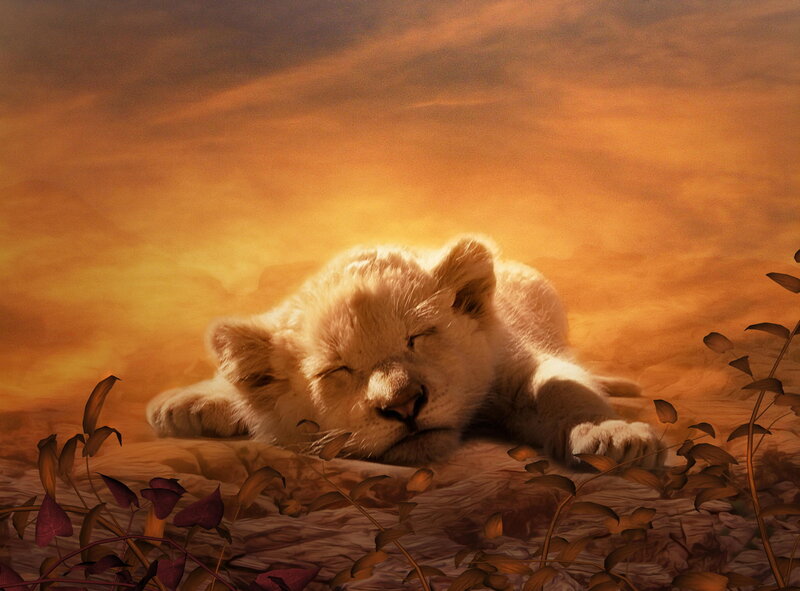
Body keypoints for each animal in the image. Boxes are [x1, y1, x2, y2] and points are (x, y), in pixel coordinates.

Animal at [147, 236, 663, 467]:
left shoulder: (514, 360)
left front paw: (611, 434)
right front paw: (188, 404)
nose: (402, 405)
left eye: (419, 336)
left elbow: (564, 389)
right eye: (337, 370)